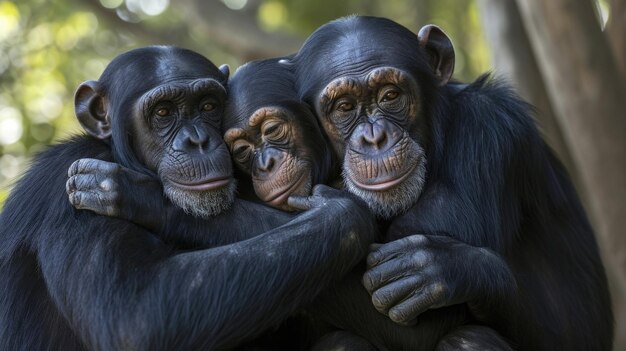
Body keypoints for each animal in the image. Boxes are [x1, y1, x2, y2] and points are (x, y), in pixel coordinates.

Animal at [0, 46, 376, 351]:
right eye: (163, 113)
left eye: (208, 105)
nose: (197, 140)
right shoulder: (67, 186)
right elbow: (133, 316)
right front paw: (342, 214)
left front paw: (136, 194)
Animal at [292, 15, 608, 350]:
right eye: (344, 107)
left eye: (391, 95)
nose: (374, 138)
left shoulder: (487, 125)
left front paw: (445, 267)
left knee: (468, 337)